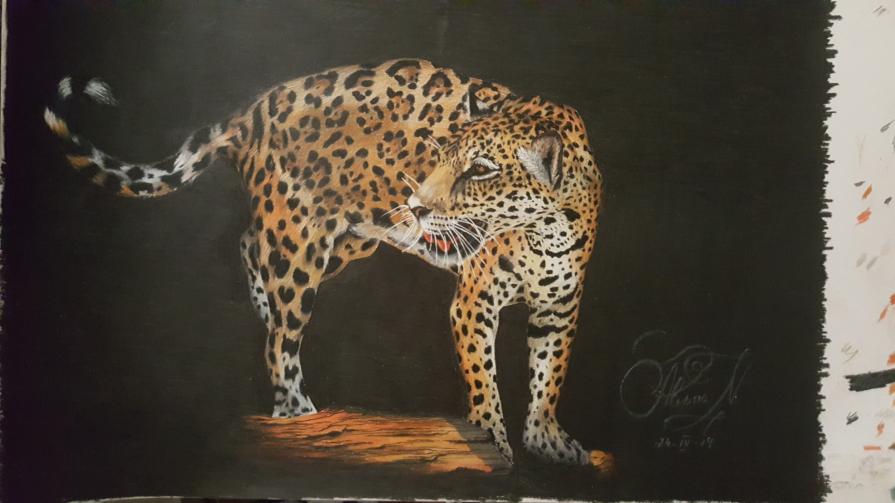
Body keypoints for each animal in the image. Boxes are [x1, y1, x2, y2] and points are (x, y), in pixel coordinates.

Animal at [44, 59, 608, 469]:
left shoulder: (560, 308)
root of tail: (253, 111)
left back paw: (262, 306)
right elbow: (482, 376)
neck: (544, 233)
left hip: (342, 243)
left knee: (249, 246)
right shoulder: (474, 305)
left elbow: (549, 375)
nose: (418, 206)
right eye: (441, 157)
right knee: (279, 342)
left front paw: (545, 441)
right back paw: (296, 412)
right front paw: (492, 441)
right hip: (300, 245)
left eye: (481, 171)